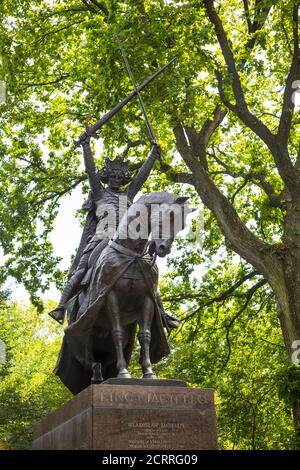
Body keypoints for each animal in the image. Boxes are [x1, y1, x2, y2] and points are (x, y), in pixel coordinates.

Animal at [55, 191, 192, 392]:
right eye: (171, 215)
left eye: (183, 225)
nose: (163, 249)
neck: (132, 254)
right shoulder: (111, 298)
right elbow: (117, 333)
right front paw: (123, 373)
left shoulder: (147, 300)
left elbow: (145, 336)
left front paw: (149, 373)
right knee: (87, 352)